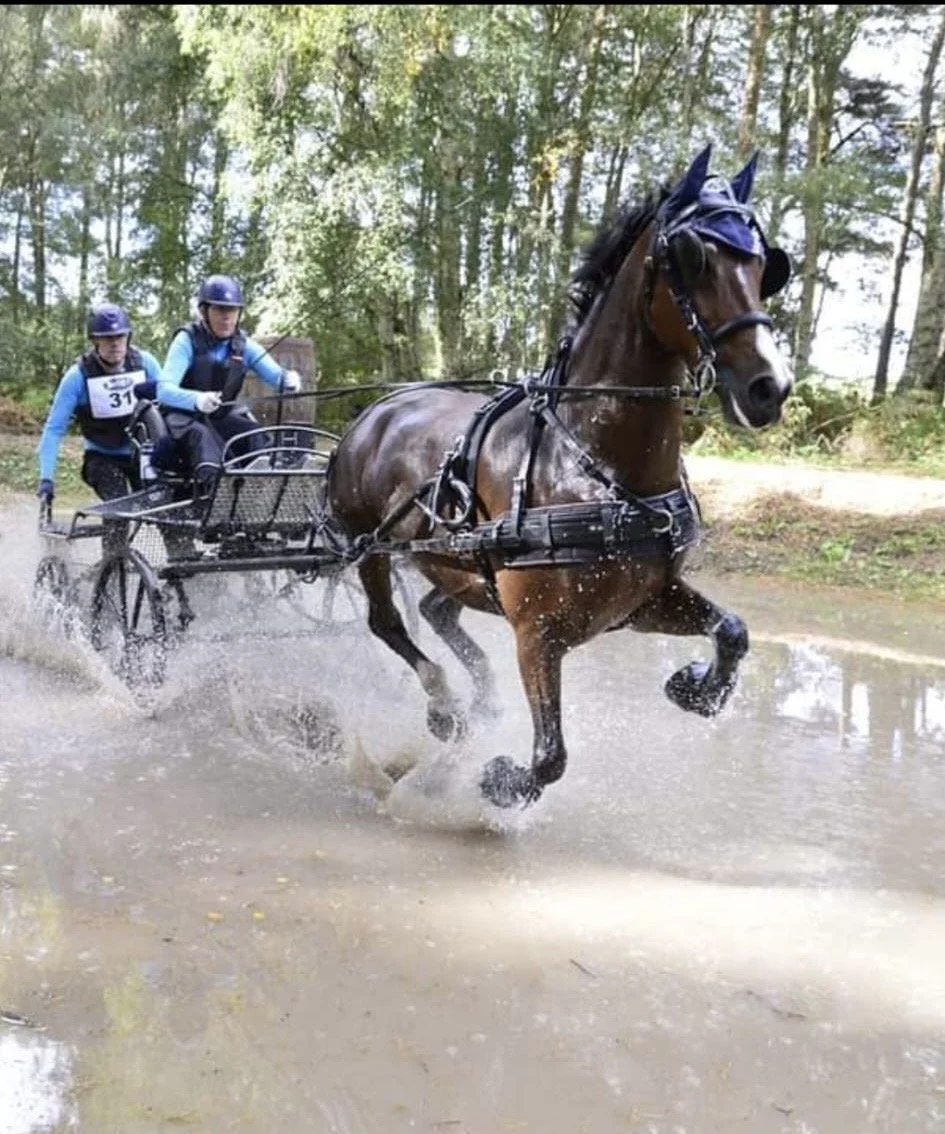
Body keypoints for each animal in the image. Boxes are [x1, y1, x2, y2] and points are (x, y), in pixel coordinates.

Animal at [326, 144, 794, 809]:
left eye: (764, 265)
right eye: (694, 258)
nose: (769, 387)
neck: (592, 466)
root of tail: (377, 410)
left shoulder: (643, 601)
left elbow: (733, 631)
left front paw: (697, 686)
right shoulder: (537, 633)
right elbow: (550, 757)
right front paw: (501, 781)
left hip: (454, 565)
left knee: (440, 612)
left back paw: (480, 701)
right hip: (369, 549)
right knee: (388, 622)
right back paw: (446, 706)